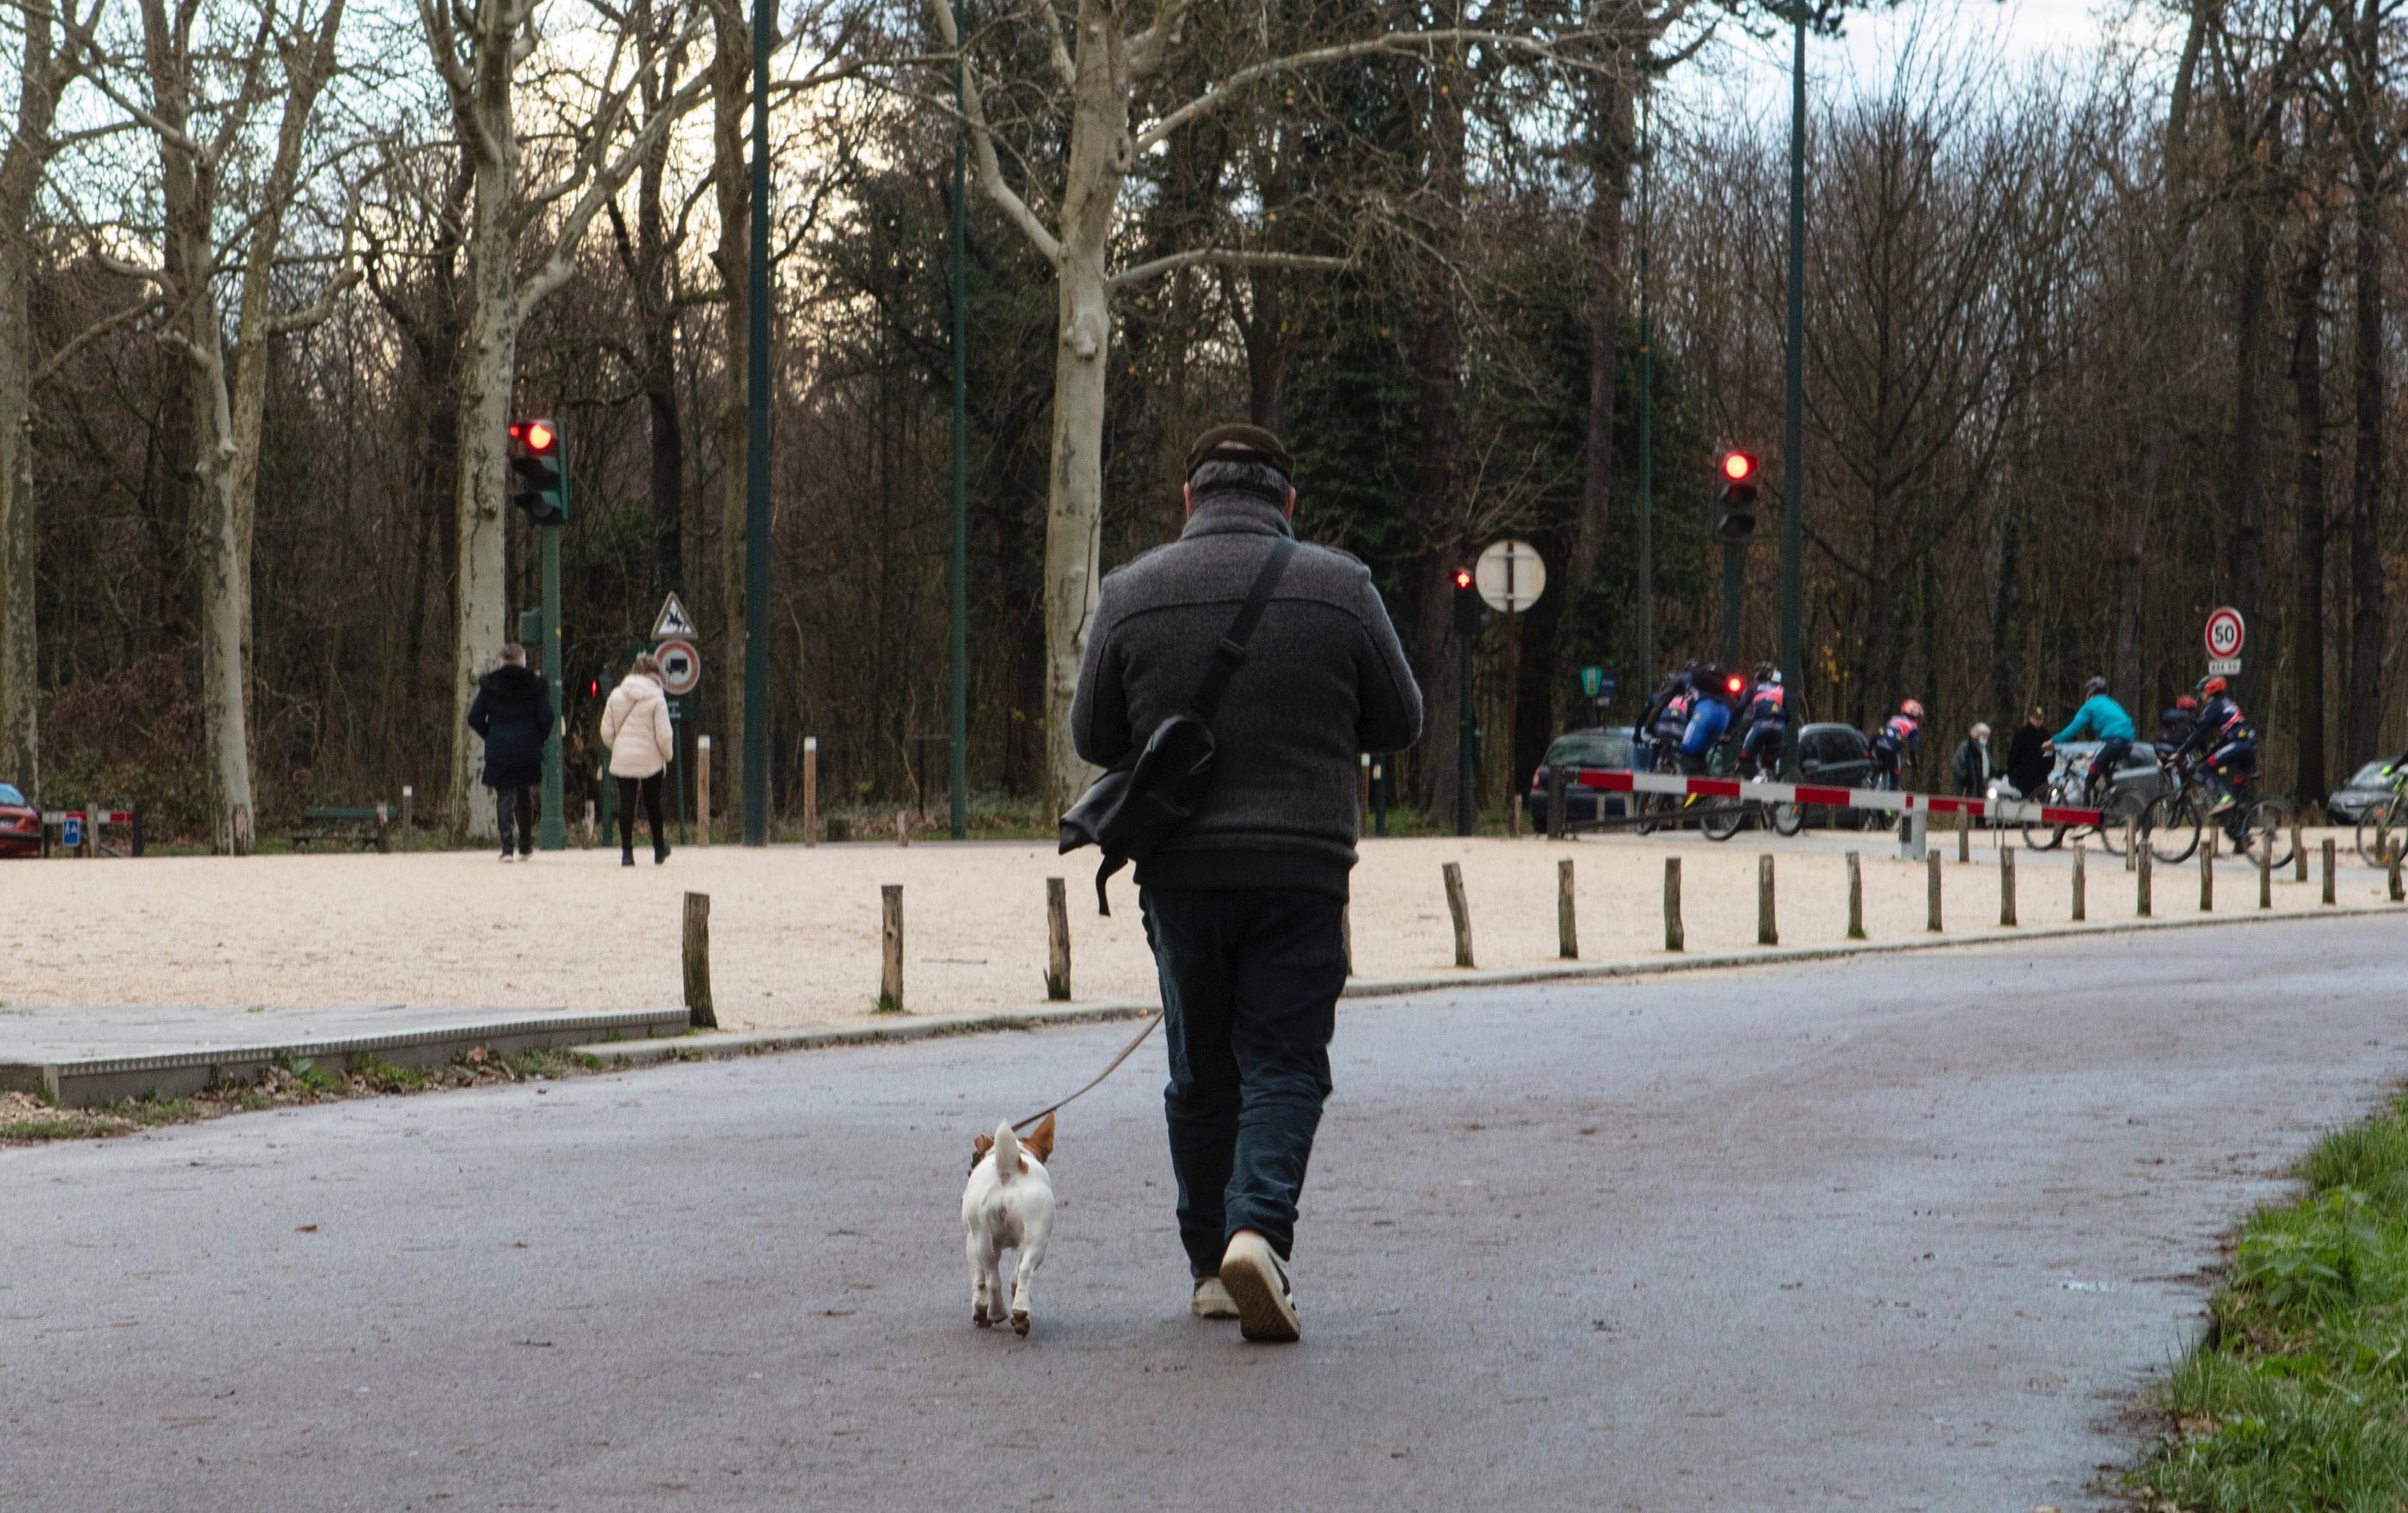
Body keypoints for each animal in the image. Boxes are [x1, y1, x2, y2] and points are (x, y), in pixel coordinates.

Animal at [958, 1113, 1054, 1339]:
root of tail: (1009, 1169)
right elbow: (1013, 1277)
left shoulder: (970, 1242)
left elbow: (979, 1280)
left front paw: (980, 1310)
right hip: (1035, 1239)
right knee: (1022, 1271)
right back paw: (1018, 1313)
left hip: (984, 1240)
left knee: (993, 1277)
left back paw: (998, 1312)